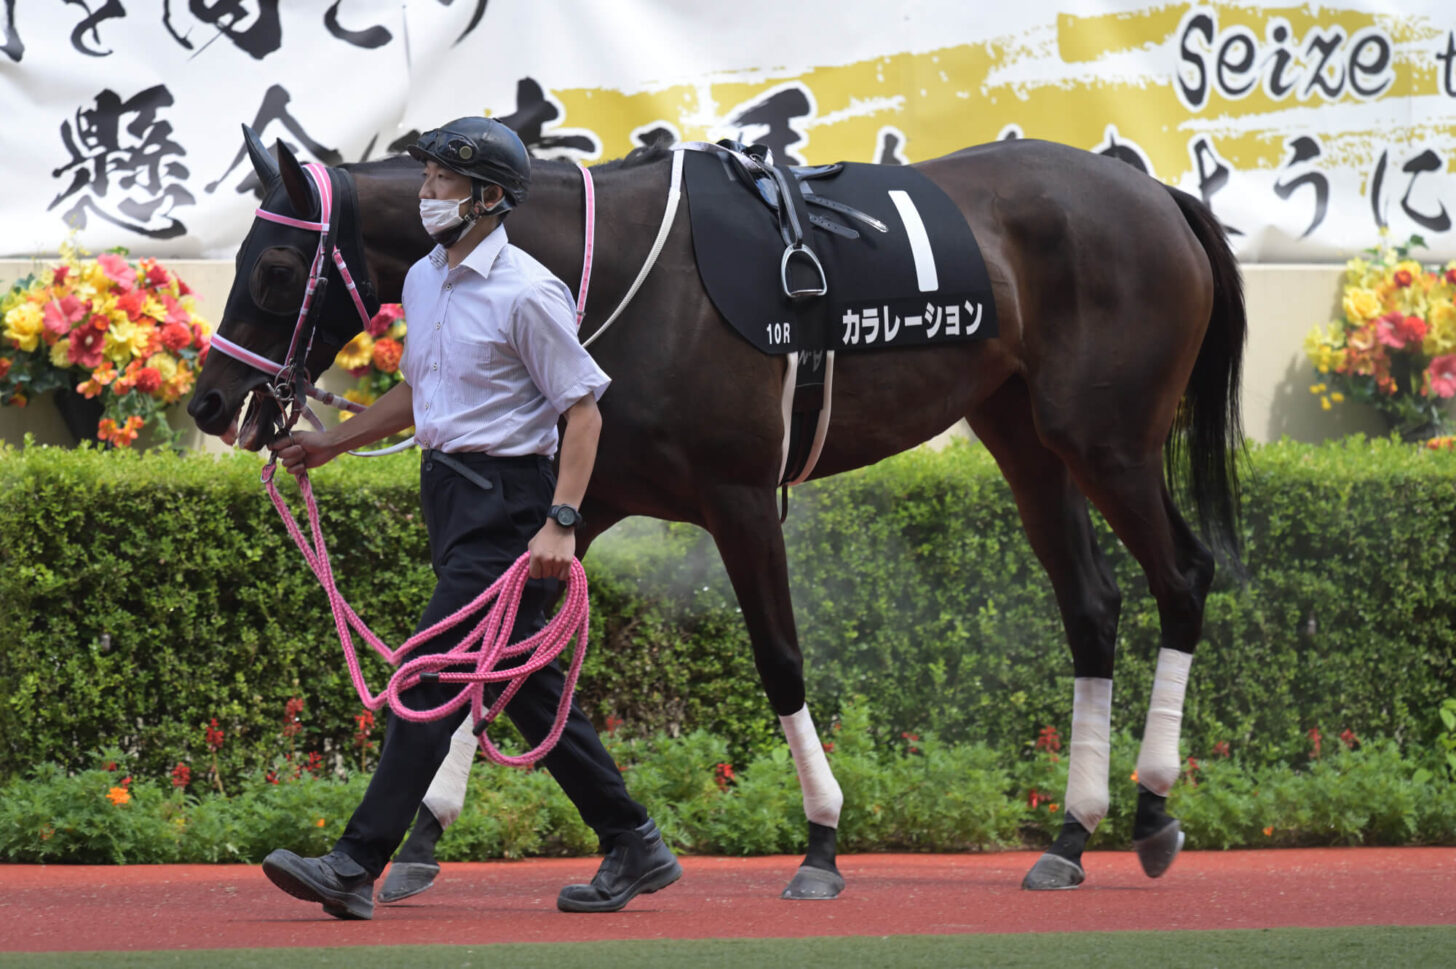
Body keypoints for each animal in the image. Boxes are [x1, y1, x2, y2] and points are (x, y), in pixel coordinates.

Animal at [187, 124, 1246, 896]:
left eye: (275, 269)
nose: (209, 402)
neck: (613, 270)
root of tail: (1158, 195)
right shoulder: (587, 501)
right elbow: (490, 656)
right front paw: (417, 840)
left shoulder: (740, 500)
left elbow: (778, 659)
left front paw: (820, 839)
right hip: (1024, 435)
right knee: (1091, 607)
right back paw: (1070, 834)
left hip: (1106, 440)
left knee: (1183, 575)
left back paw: (1154, 808)